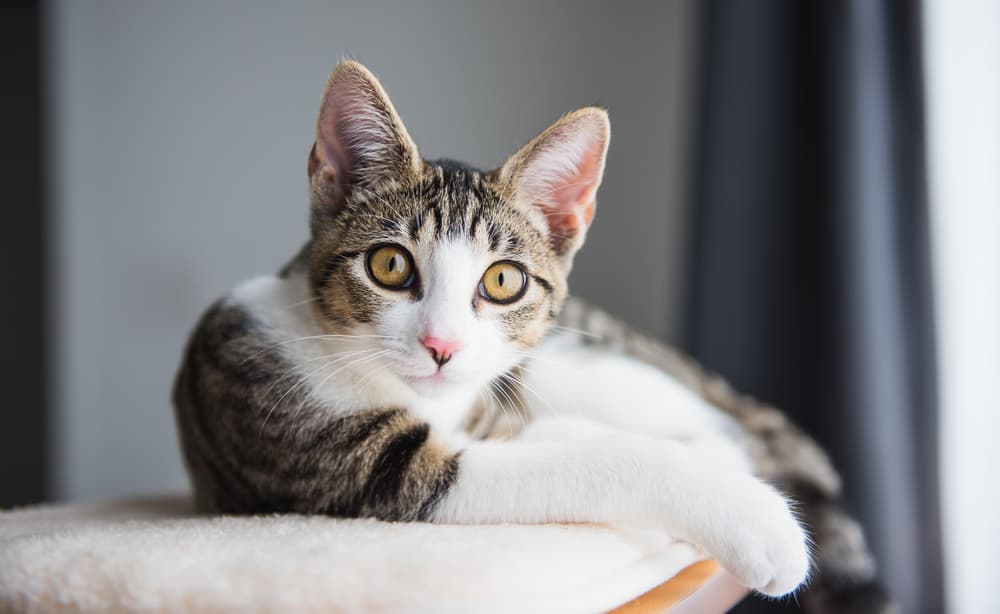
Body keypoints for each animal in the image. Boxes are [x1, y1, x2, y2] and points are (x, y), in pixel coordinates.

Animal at [172, 60, 892, 612]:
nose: (442, 348)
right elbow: (582, 458)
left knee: (737, 430)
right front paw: (758, 520)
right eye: (389, 266)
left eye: (502, 281)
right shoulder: (331, 449)